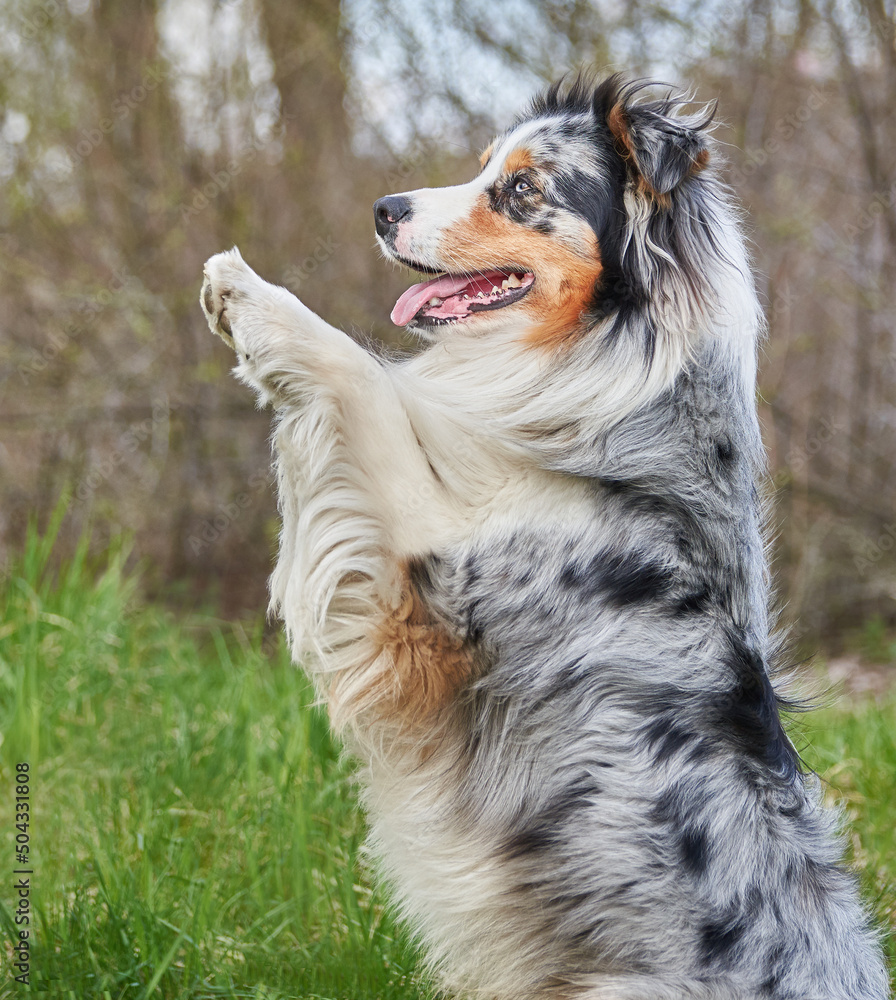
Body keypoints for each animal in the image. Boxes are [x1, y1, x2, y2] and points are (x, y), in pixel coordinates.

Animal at [198, 74, 888, 996]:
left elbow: (367, 384)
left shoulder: (436, 597)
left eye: (522, 188)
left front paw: (250, 299)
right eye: (484, 166)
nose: (383, 208)